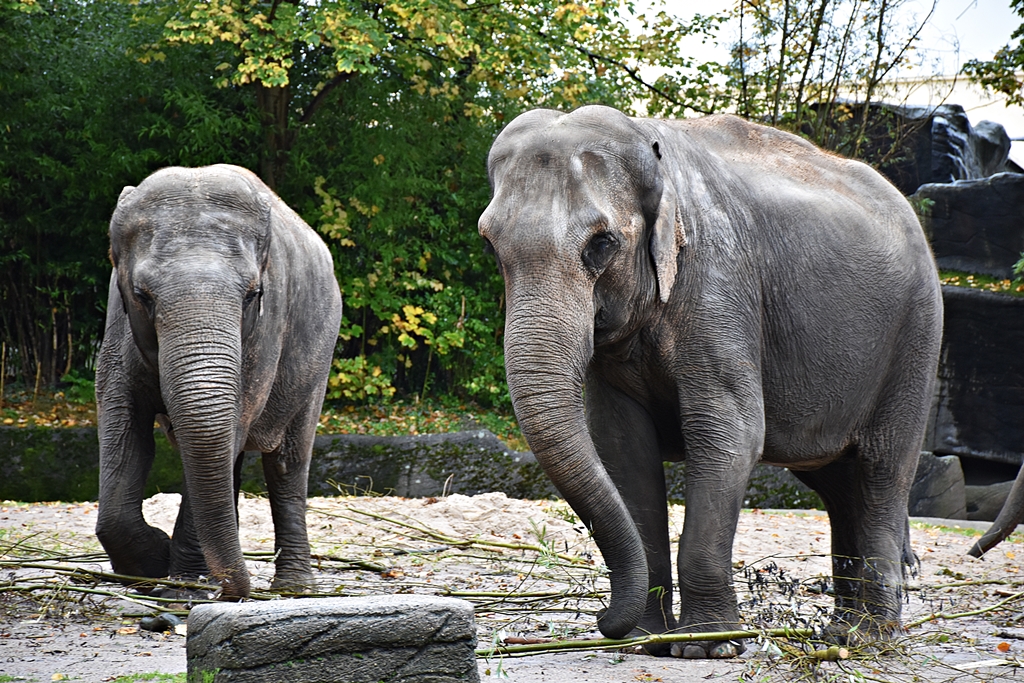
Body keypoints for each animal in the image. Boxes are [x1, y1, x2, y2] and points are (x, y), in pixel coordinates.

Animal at [95, 164, 342, 599]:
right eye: (142, 295)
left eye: (253, 295)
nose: (235, 590)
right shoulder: (117, 323)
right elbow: (123, 423)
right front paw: (154, 566)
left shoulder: (266, 329)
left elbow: (232, 424)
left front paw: (184, 587)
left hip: (319, 358)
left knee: (287, 461)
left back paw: (294, 588)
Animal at [478, 105, 943, 657]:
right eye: (490, 245)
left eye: (601, 244)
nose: (602, 618)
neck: (650, 144)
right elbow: (622, 448)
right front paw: (645, 640)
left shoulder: (718, 283)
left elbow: (728, 431)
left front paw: (705, 646)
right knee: (838, 484)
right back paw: (840, 632)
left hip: (916, 338)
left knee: (882, 471)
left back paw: (869, 636)